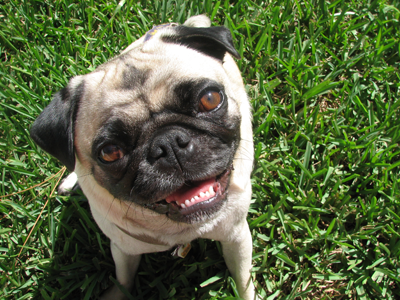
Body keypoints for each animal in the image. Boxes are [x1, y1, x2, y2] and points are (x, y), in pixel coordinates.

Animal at [31, 14, 256, 300]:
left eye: (210, 98)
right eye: (109, 152)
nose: (168, 143)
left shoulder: (237, 237)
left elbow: (244, 281)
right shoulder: (123, 248)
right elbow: (123, 280)